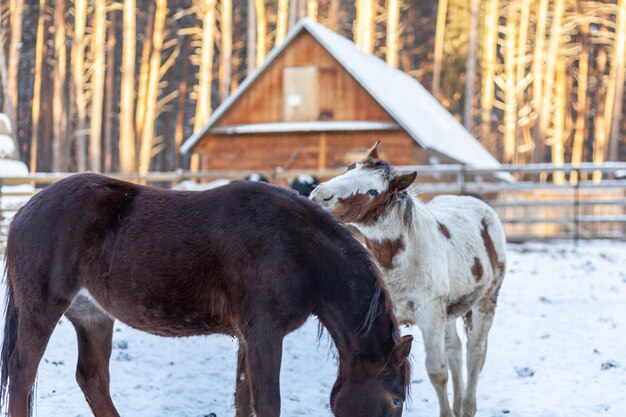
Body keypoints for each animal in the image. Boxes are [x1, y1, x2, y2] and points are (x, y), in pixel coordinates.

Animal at [0, 174, 412, 416]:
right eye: (396, 398)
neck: (298, 247)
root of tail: (26, 210)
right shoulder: (264, 334)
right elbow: (267, 401)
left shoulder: (249, 338)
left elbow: (245, 399)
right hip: (43, 310)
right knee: (22, 376)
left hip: (92, 316)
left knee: (93, 379)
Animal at [310, 141, 504, 416]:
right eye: (350, 167)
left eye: (373, 191)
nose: (320, 195)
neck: (402, 259)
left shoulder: (430, 317)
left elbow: (437, 372)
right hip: (449, 313)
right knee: (455, 351)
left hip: (485, 303)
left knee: (474, 354)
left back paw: (466, 406)